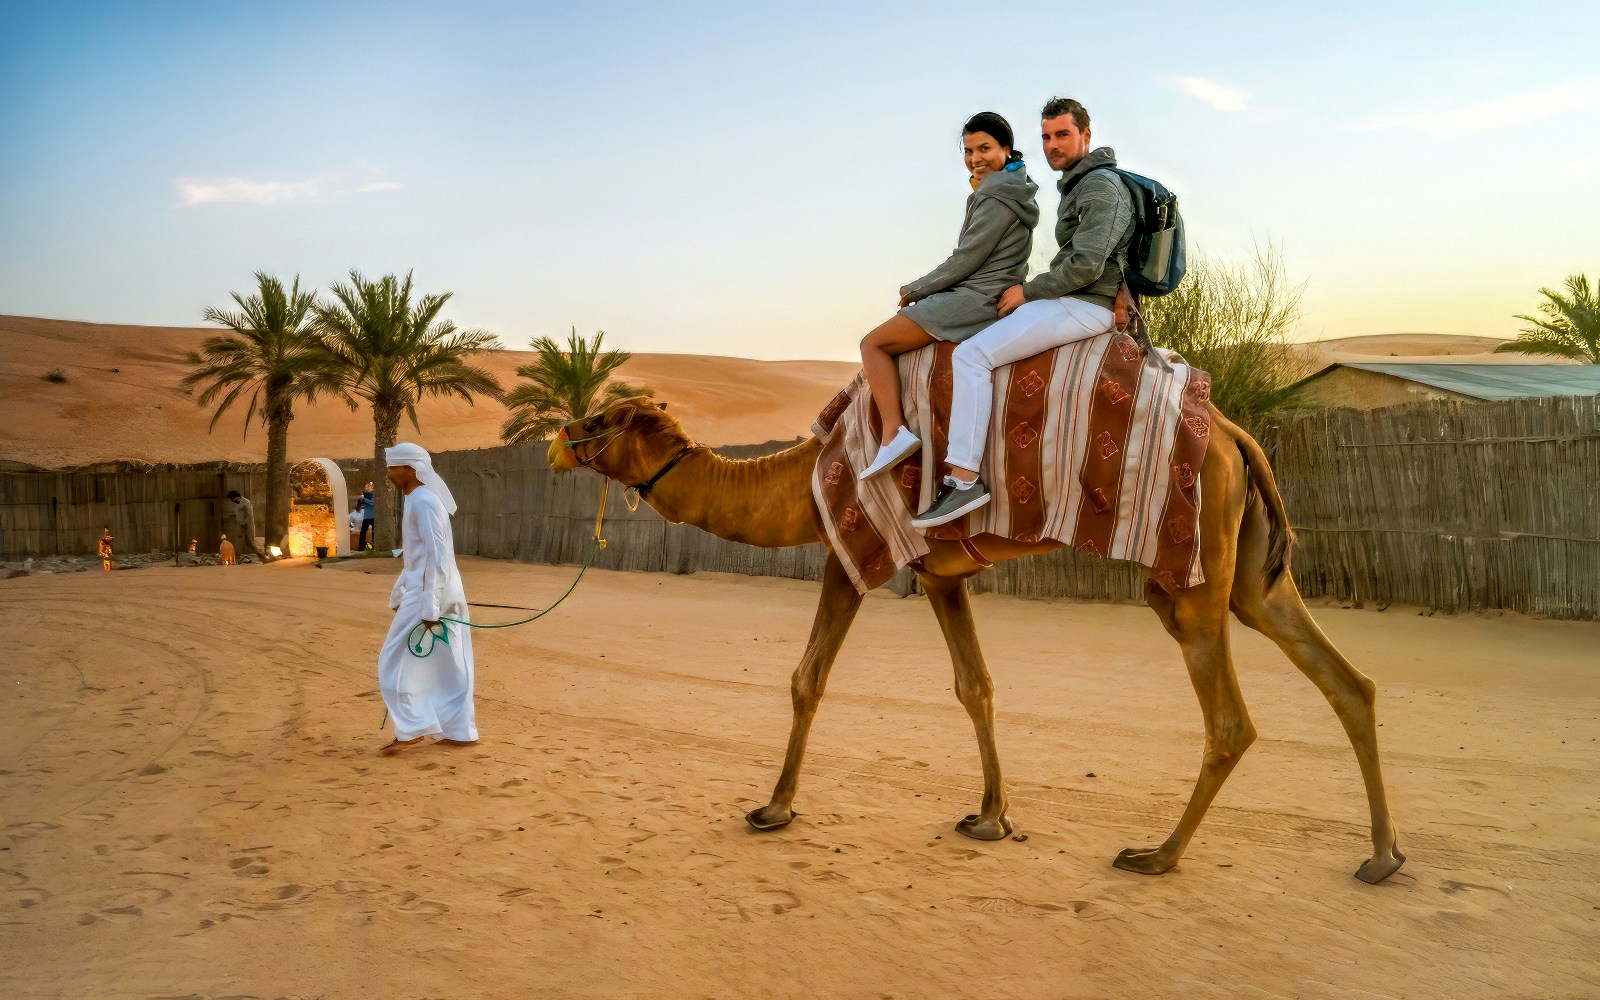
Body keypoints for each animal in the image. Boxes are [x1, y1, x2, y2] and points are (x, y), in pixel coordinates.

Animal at [548, 395, 1405, 884]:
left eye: (600, 422)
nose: (557, 440)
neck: (802, 481)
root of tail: (1236, 436)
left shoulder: (851, 552)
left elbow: (807, 677)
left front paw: (773, 808)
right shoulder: (940, 574)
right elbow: (975, 684)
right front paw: (992, 816)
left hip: (1190, 572)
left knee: (1230, 719)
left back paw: (1157, 856)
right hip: (1253, 567)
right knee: (1348, 681)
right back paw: (1381, 857)